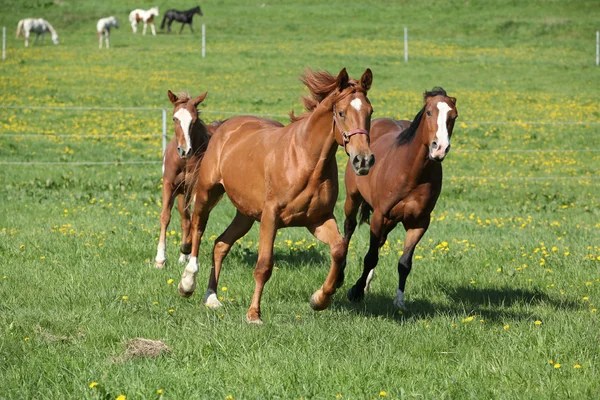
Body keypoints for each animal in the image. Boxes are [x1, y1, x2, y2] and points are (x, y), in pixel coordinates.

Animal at [154, 90, 219, 268]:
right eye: (174, 118)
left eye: (194, 120)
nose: (184, 150)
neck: (183, 162)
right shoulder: (169, 185)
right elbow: (165, 216)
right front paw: (160, 260)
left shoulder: (198, 189)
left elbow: (197, 221)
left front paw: (187, 249)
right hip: (183, 195)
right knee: (186, 220)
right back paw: (183, 256)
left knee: (196, 220)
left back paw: (187, 251)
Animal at [178, 67, 376, 324]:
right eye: (341, 113)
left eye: (370, 112)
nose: (363, 160)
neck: (306, 159)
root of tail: (225, 127)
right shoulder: (271, 217)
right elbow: (264, 265)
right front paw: (254, 314)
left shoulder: (318, 220)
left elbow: (339, 249)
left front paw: (319, 299)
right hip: (207, 193)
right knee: (198, 228)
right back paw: (187, 283)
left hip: (246, 214)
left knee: (221, 244)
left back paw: (211, 298)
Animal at [342, 88, 460, 310]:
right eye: (429, 112)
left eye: (453, 116)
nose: (439, 148)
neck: (411, 171)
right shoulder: (380, 215)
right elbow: (370, 257)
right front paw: (355, 292)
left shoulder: (419, 223)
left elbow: (405, 263)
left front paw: (399, 301)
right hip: (353, 198)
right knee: (349, 228)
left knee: (380, 242)